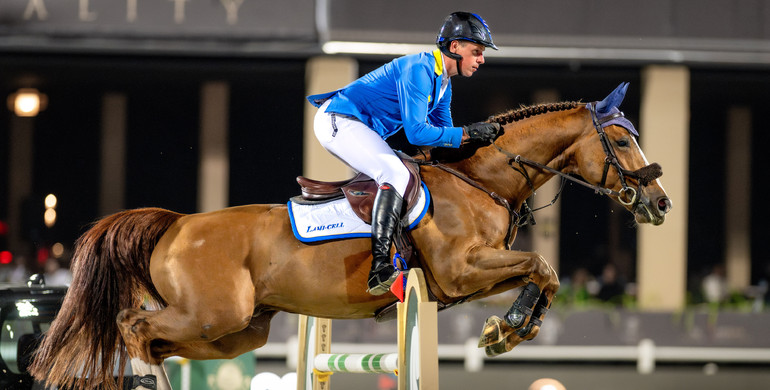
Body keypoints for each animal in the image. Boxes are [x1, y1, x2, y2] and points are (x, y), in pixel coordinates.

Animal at [28, 83, 664, 390]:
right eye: (622, 140)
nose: (661, 203)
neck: (479, 180)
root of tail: (177, 223)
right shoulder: (461, 270)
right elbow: (541, 266)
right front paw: (506, 329)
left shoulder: (464, 280)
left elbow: (543, 273)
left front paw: (508, 329)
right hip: (211, 315)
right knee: (132, 326)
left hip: (237, 331)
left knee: (154, 341)